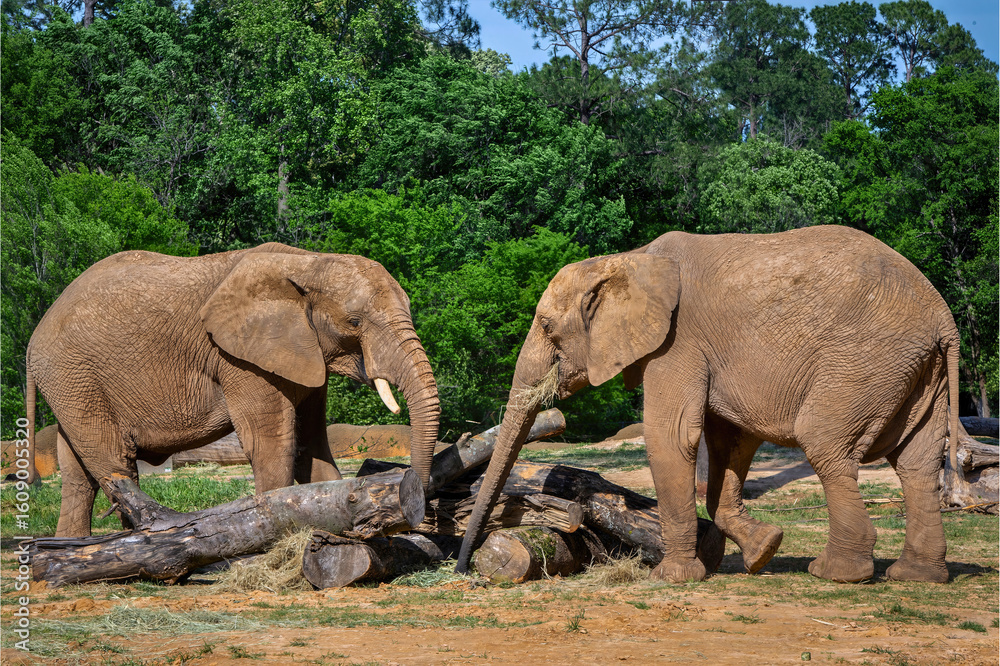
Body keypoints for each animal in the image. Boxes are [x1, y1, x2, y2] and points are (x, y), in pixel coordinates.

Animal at [25, 242, 440, 537]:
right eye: (354, 322)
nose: (419, 515)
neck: (307, 263)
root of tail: (33, 339)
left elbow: (312, 445)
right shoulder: (239, 359)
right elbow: (273, 444)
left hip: (72, 383)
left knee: (77, 473)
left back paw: (72, 549)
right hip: (73, 374)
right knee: (114, 463)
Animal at [455, 225, 962, 584]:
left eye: (546, 327)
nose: (462, 568)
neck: (630, 258)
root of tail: (943, 317)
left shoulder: (677, 342)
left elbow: (672, 436)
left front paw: (673, 578)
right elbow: (729, 443)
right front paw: (763, 551)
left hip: (864, 361)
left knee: (827, 445)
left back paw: (837, 573)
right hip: (917, 371)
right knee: (916, 463)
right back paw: (915, 576)